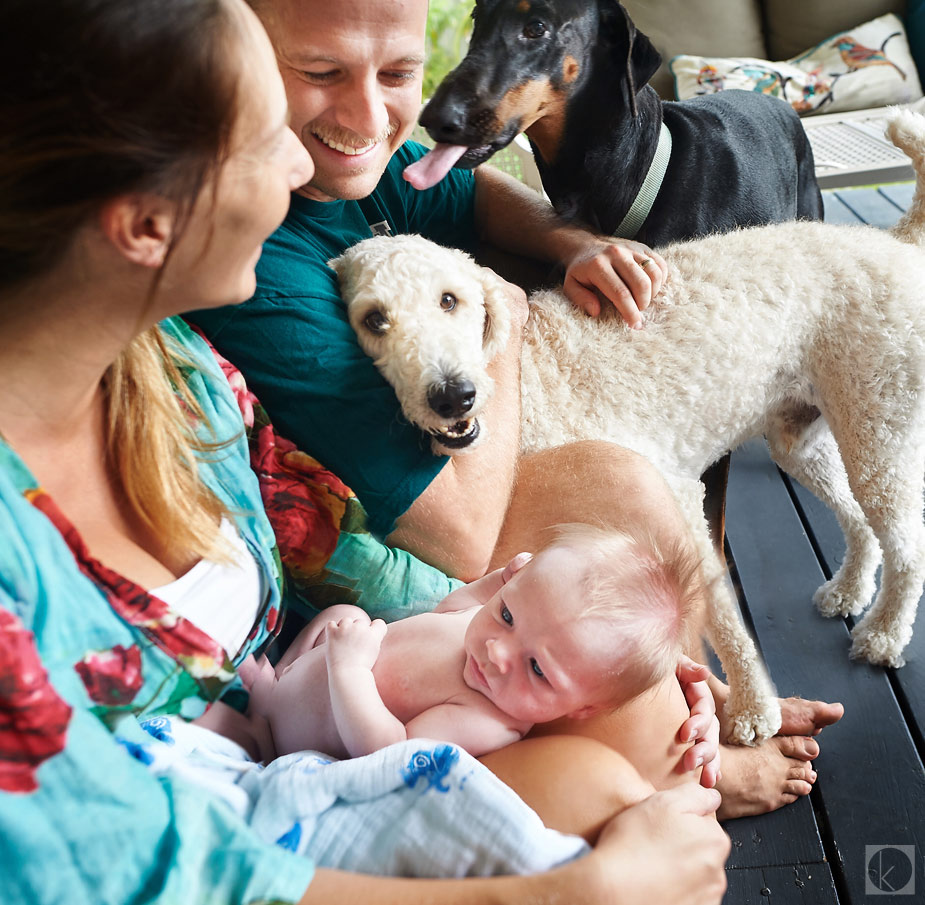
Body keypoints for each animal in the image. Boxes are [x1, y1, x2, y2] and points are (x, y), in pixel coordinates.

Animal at [332, 109, 925, 740]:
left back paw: (883, 637)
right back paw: (850, 591)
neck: (527, 385)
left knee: (907, 546)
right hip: (806, 438)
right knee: (861, 521)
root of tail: (898, 241)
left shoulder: (677, 499)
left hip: (877, 425)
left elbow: (717, 609)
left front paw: (751, 709)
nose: (453, 396)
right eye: (373, 320)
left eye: (451, 301)